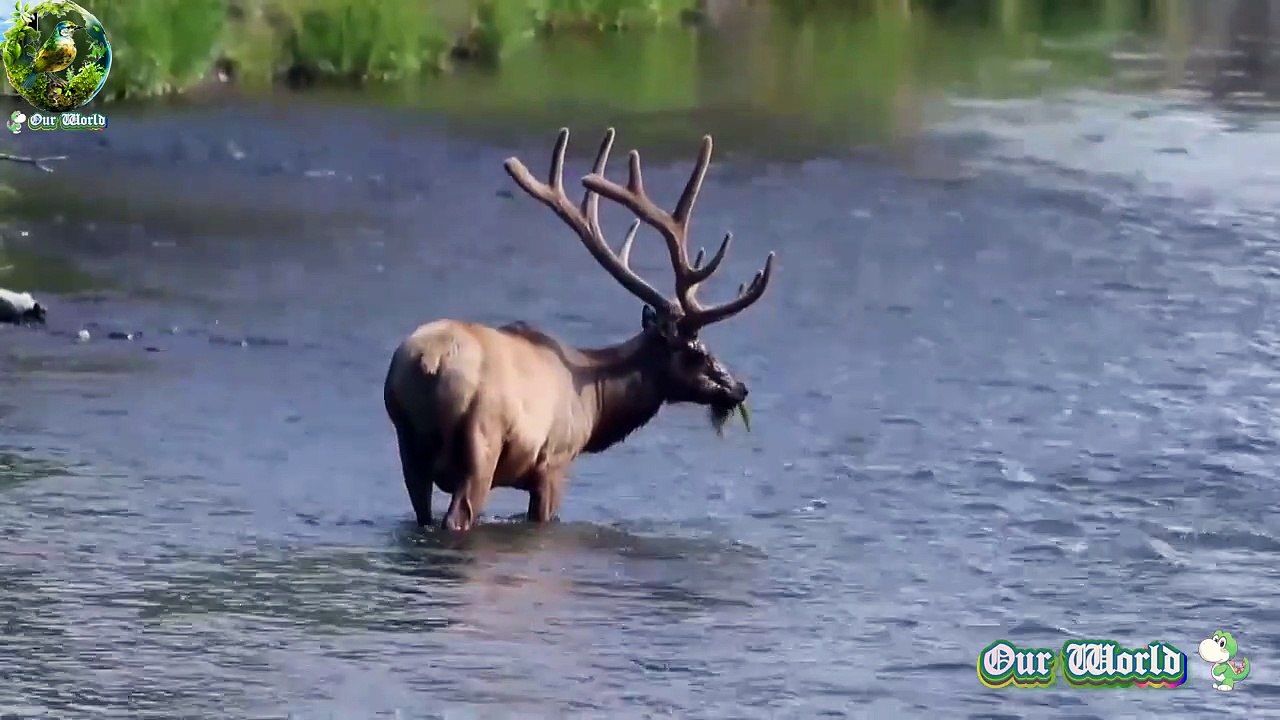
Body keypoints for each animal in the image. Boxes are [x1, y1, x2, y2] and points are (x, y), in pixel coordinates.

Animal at [383, 128, 775, 532]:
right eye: (697, 351)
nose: (739, 388)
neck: (598, 404)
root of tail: (428, 362)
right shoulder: (555, 461)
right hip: (482, 442)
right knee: (458, 516)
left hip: (407, 444)